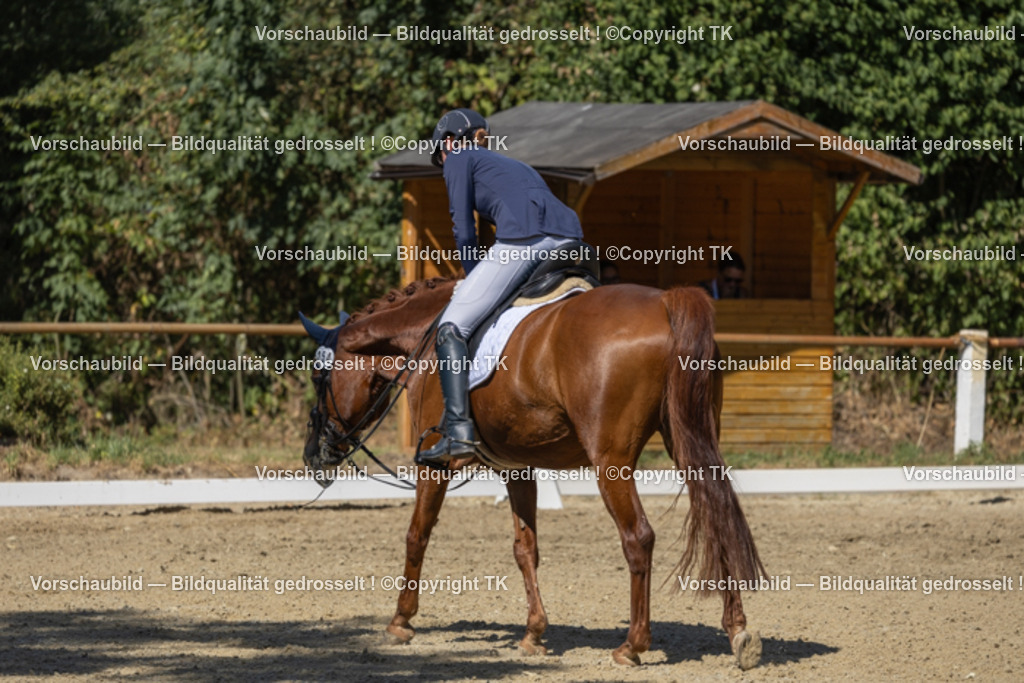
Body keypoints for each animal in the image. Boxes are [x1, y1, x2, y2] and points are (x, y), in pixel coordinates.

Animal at [300, 277, 766, 669]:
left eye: (318, 377)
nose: (313, 456)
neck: (423, 340)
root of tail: (664, 301)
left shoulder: (435, 466)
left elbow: (417, 534)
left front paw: (401, 621)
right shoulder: (518, 468)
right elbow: (526, 548)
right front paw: (533, 634)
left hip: (610, 461)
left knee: (639, 538)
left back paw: (632, 646)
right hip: (690, 441)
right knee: (718, 517)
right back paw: (739, 632)